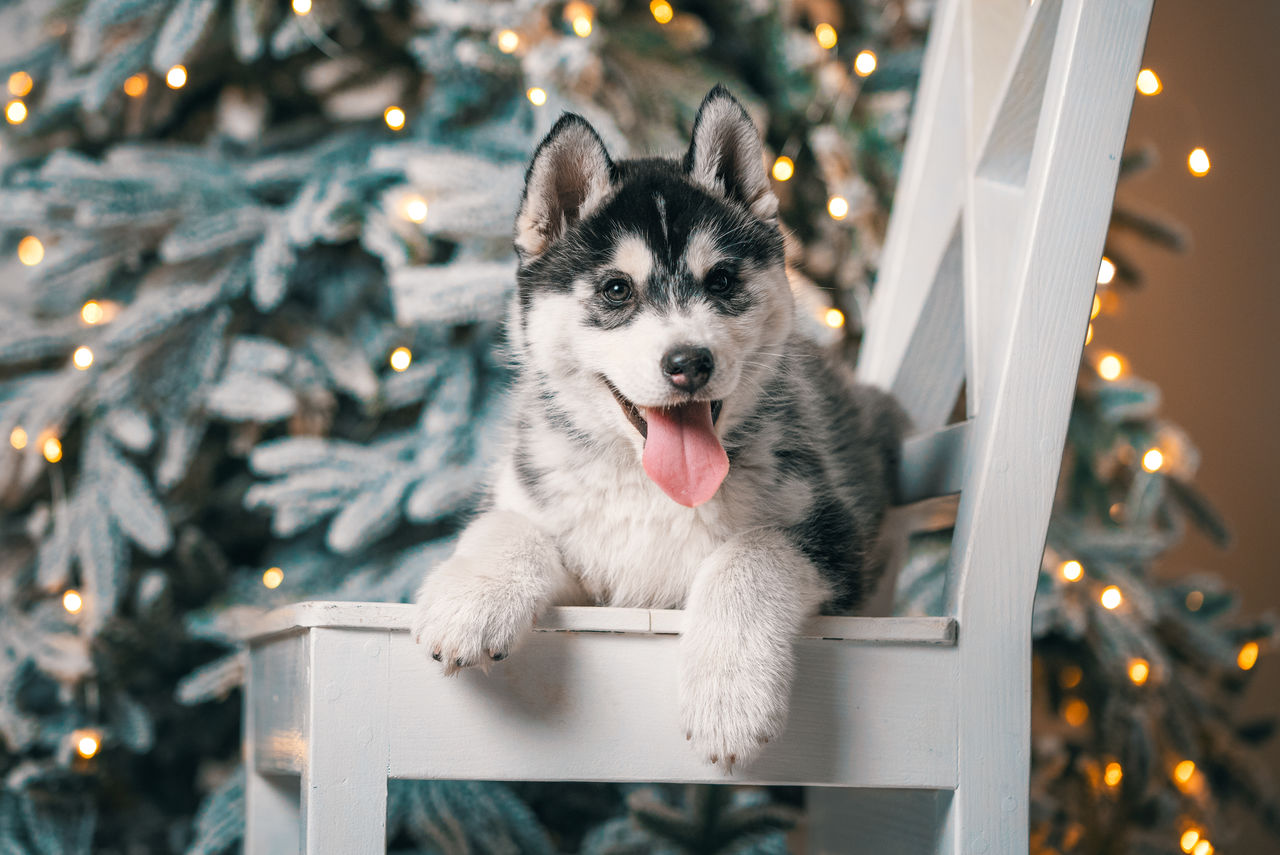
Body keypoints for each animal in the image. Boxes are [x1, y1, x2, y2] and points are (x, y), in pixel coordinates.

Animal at [414, 87, 906, 773]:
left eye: (722, 279)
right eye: (616, 289)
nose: (689, 362)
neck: (651, 490)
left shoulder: (835, 534)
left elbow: (751, 552)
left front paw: (730, 697)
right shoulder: (576, 562)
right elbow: (507, 525)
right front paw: (472, 599)